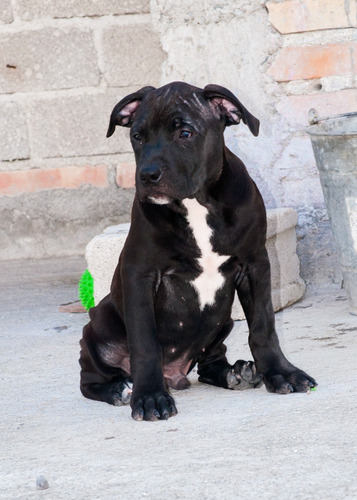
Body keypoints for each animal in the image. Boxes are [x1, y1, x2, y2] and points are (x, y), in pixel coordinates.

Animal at [79, 83, 316, 422]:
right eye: (137, 136)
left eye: (185, 133)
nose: (147, 175)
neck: (197, 202)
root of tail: (175, 373)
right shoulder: (139, 273)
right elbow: (145, 342)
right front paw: (149, 397)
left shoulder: (256, 264)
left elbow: (263, 325)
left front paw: (281, 372)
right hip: (96, 324)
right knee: (90, 380)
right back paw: (119, 389)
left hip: (223, 321)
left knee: (209, 364)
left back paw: (236, 373)